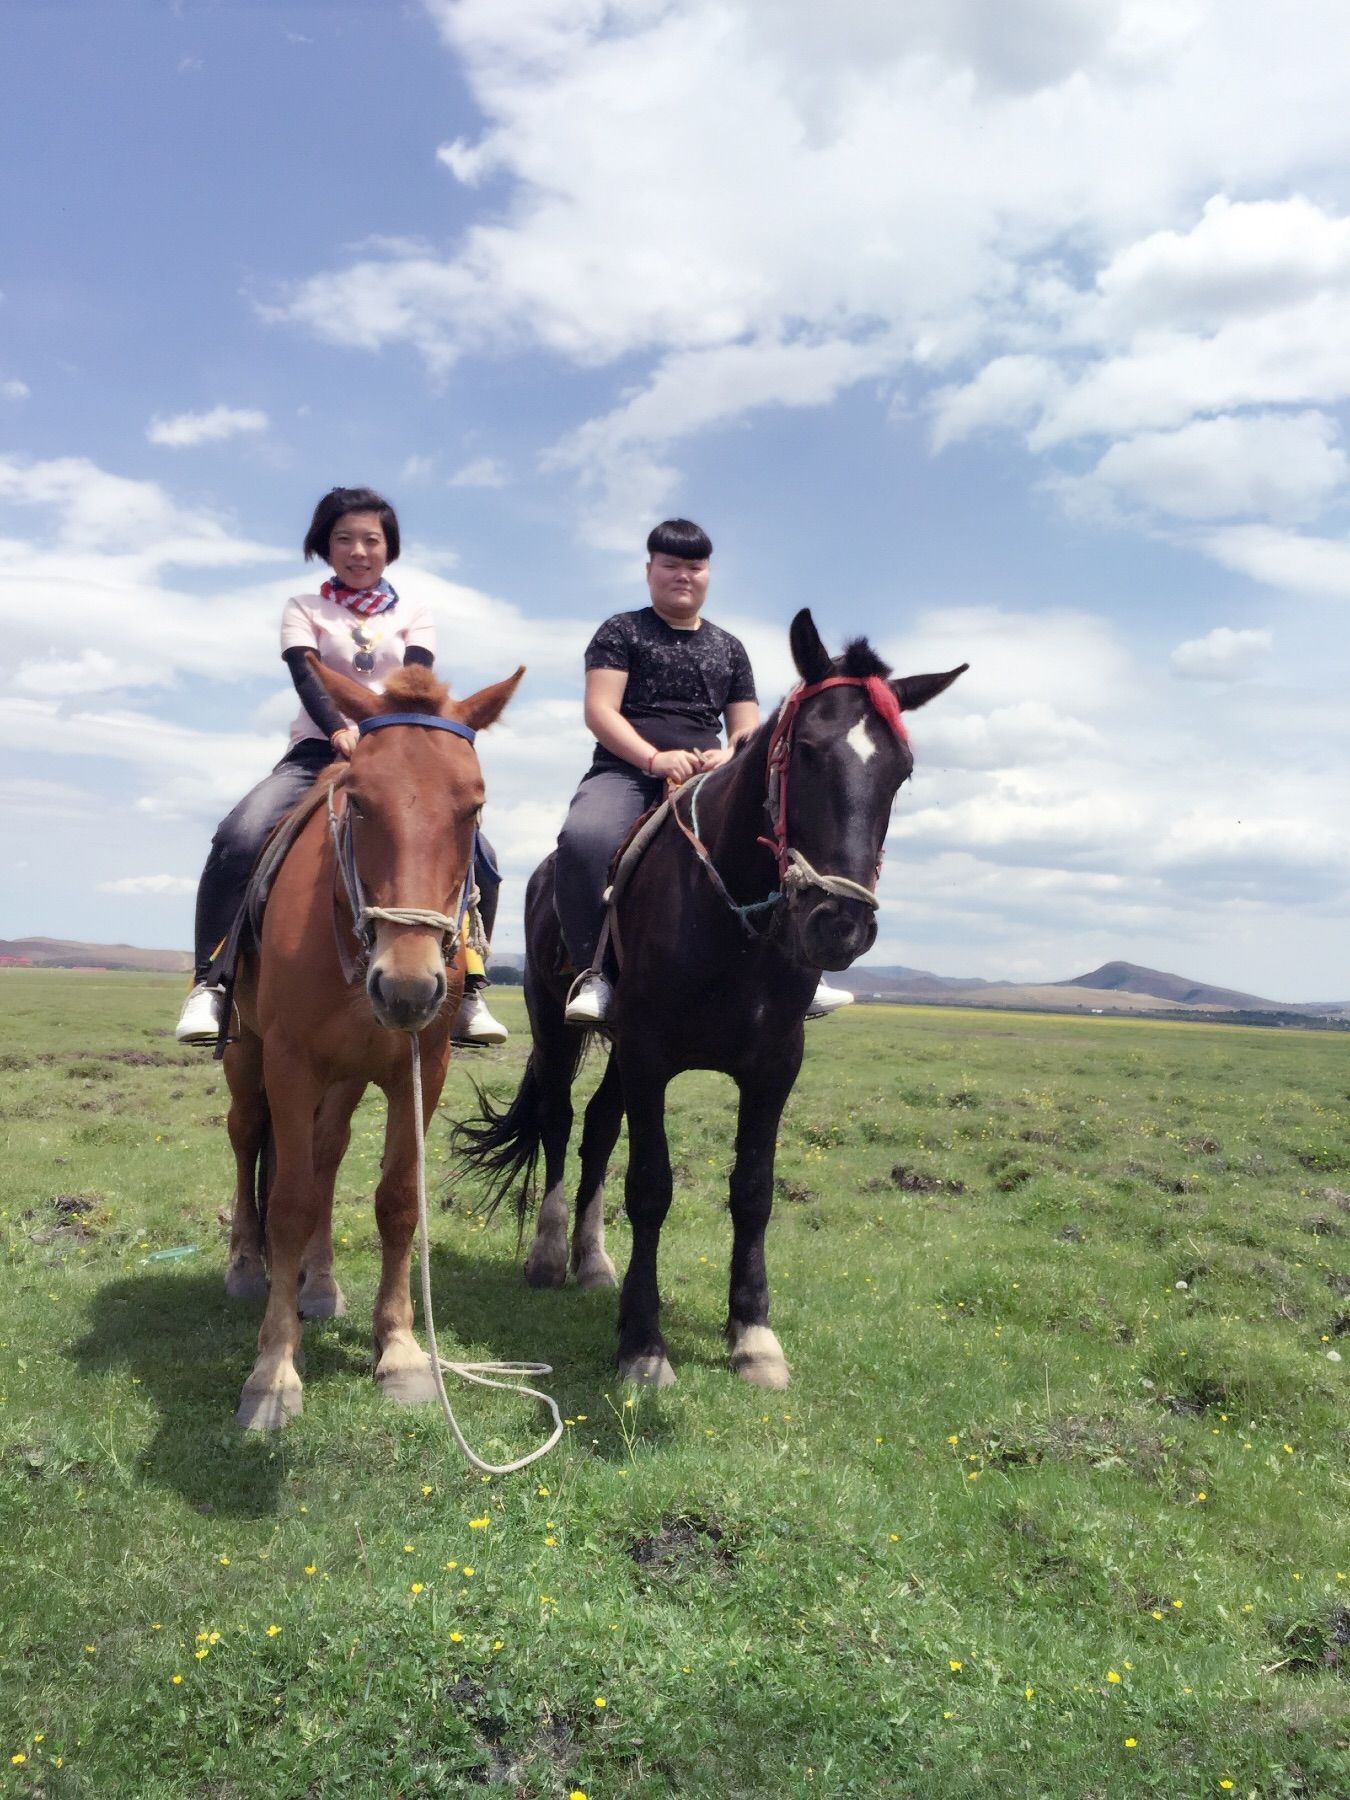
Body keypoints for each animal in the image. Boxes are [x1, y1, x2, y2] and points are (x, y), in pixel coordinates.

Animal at [227, 655, 522, 1425]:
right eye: (358, 802)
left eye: (474, 807)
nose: (409, 986)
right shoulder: (290, 1062)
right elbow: (289, 1204)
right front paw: (273, 1370)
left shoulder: (422, 1066)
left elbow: (396, 1200)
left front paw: (399, 1349)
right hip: (246, 1054)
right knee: (246, 1137)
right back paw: (244, 1266)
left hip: (349, 1072)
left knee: (326, 1156)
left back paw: (320, 1285)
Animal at [460, 612, 964, 1382]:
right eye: (807, 751)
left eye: (901, 771)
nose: (840, 922)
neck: (735, 926)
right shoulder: (650, 1055)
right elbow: (650, 1187)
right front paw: (643, 1344)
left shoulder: (774, 1066)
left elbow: (753, 1191)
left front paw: (752, 1333)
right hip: (556, 1023)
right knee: (558, 1119)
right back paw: (548, 1256)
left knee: (598, 1126)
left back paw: (592, 1262)